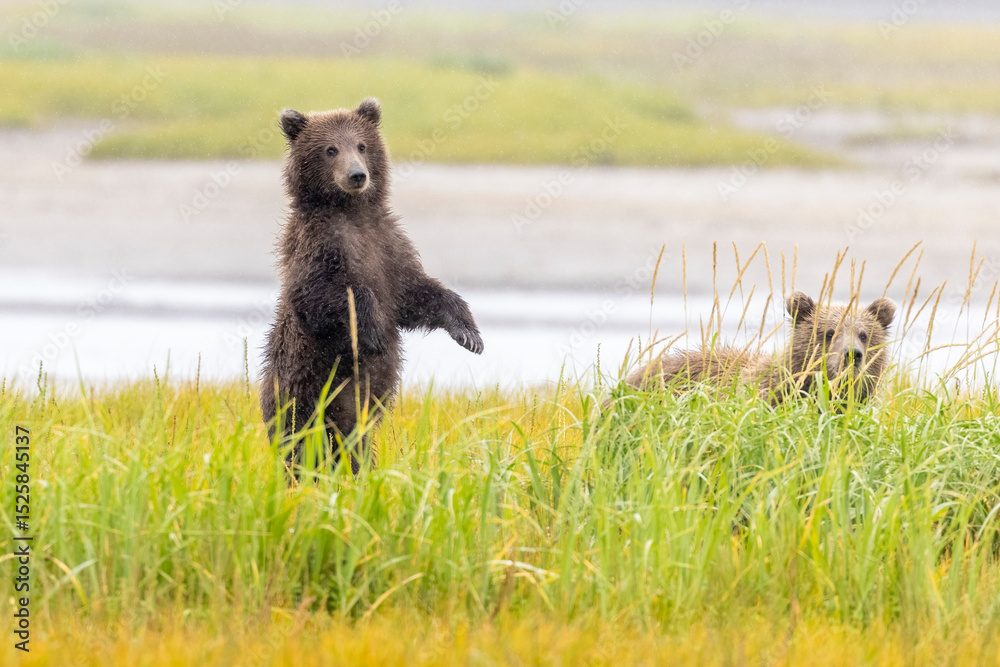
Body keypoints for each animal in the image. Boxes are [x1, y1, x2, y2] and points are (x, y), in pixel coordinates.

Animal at [259, 97, 484, 474]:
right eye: (330, 149)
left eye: (362, 145)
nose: (357, 175)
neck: (351, 212)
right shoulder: (318, 247)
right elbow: (321, 296)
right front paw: (373, 330)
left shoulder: (388, 247)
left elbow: (416, 293)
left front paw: (469, 334)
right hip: (302, 393)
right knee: (301, 444)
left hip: (356, 414)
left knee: (356, 445)